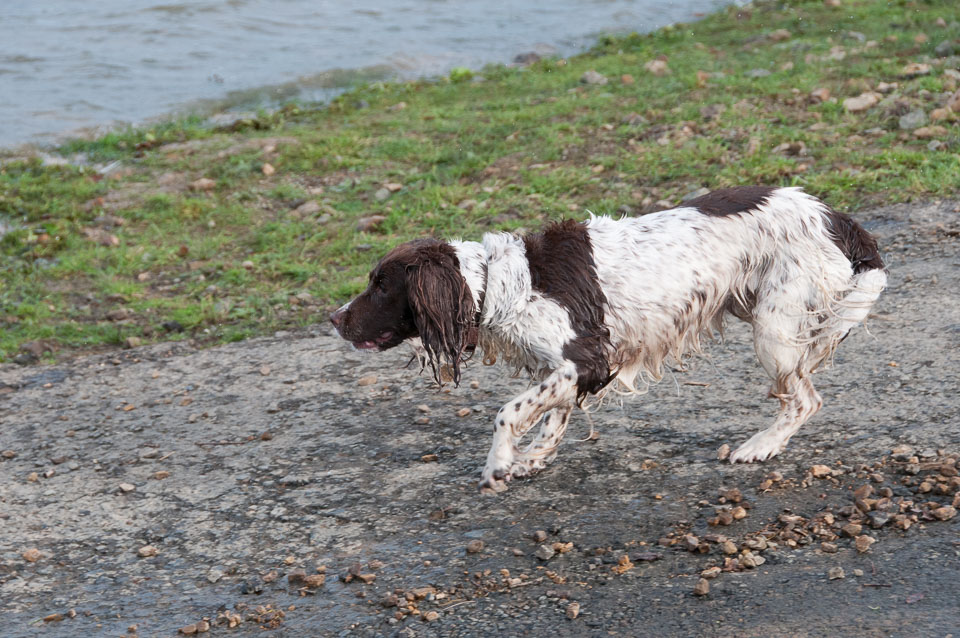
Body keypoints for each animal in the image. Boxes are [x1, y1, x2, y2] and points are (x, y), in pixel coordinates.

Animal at [328, 188, 884, 492]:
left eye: (381, 285)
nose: (334, 318)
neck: (491, 285)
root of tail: (835, 217)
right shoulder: (566, 370)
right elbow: (552, 419)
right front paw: (531, 459)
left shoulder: (586, 360)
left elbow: (509, 411)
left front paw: (499, 463)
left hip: (774, 326)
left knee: (805, 399)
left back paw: (760, 446)